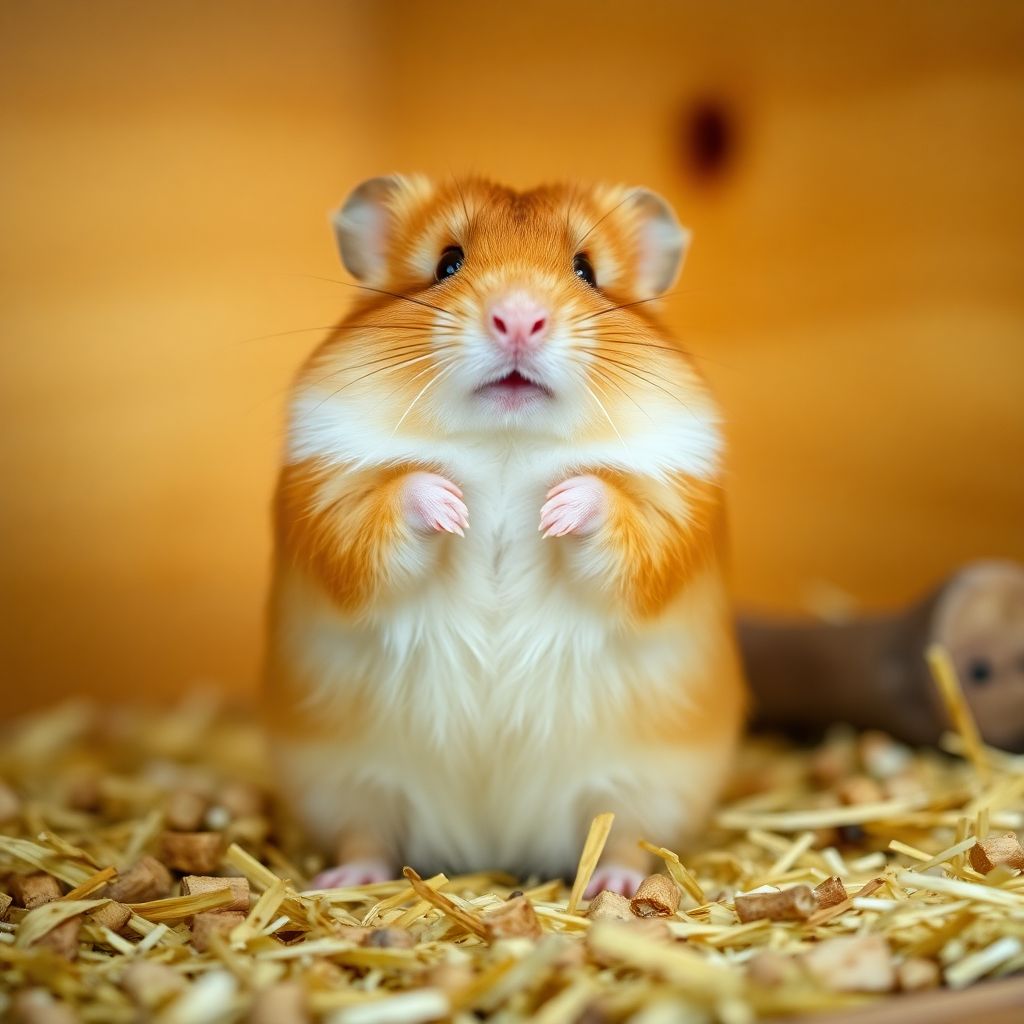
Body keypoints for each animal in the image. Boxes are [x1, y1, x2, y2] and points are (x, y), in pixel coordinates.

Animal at [265, 175, 746, 895]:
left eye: (586, 270)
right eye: (447, 263)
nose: (518, 318)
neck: (505, 441)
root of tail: (492, 843)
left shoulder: (672, 512)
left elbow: (614, 512)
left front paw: (552, 510)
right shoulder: (328, 501)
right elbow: (392, 503)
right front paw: (454, 508)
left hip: (647, 788)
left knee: (625, 840)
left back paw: (614, 887)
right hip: (346, 783)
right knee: (367, 835)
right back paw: (343, 881)